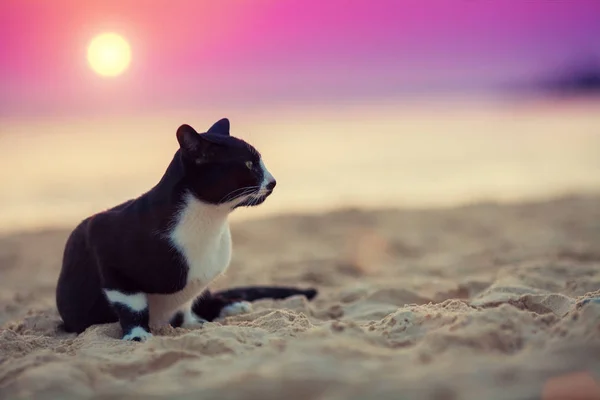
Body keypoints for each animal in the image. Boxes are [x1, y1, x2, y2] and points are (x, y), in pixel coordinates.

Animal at [56, 118, 316, 340]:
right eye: (249, 164)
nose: (273, 181)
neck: (209, 221)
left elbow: (188, 304)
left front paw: (195, 322)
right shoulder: (103, 239)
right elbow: (131, 303)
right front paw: (138, 335)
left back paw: (233, 305)